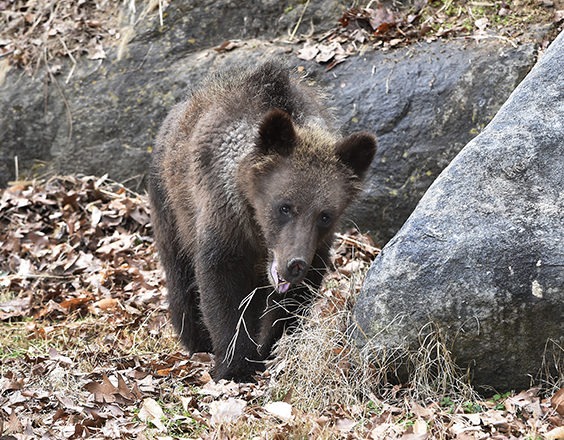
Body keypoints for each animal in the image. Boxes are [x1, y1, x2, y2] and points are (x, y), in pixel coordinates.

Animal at [148, 61, 376, 382]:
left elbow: (291, 304)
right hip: (171, 205)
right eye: (285, 207)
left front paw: (272, 349)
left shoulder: (315, 248)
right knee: (180, 272)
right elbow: (221, 288)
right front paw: (234, 364)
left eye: (325, 215)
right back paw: (195, 339)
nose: (294, 264)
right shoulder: (224, 221)